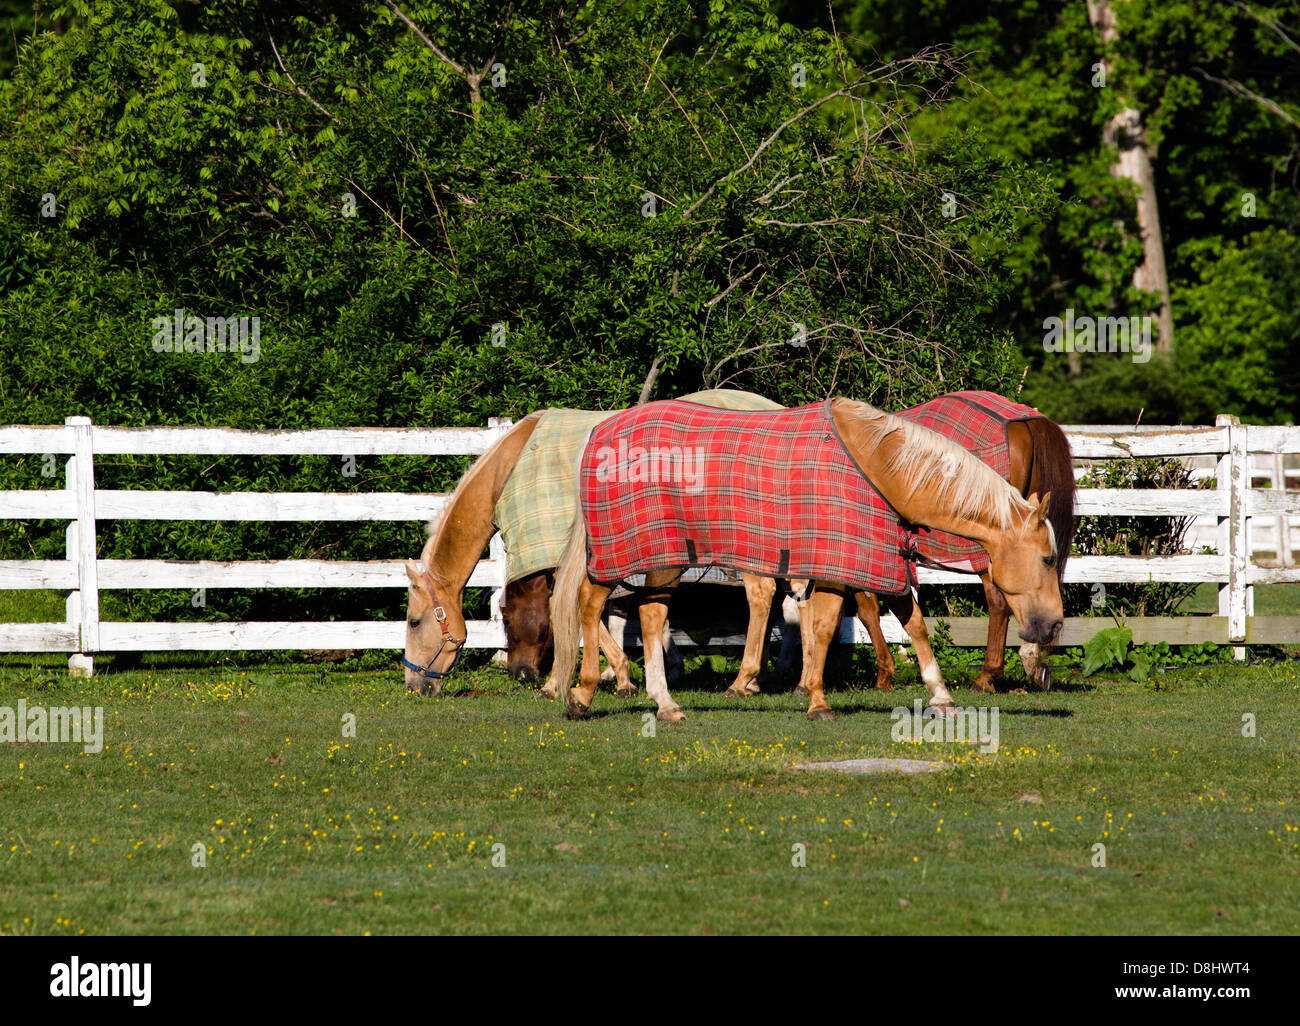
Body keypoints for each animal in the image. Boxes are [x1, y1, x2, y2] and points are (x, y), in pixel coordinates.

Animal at [502, 393, 1074, 694]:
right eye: (1047, 557)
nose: (1052, 628)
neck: (880, 464)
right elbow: (853, 613)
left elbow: (853, 615)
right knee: (599, 603)